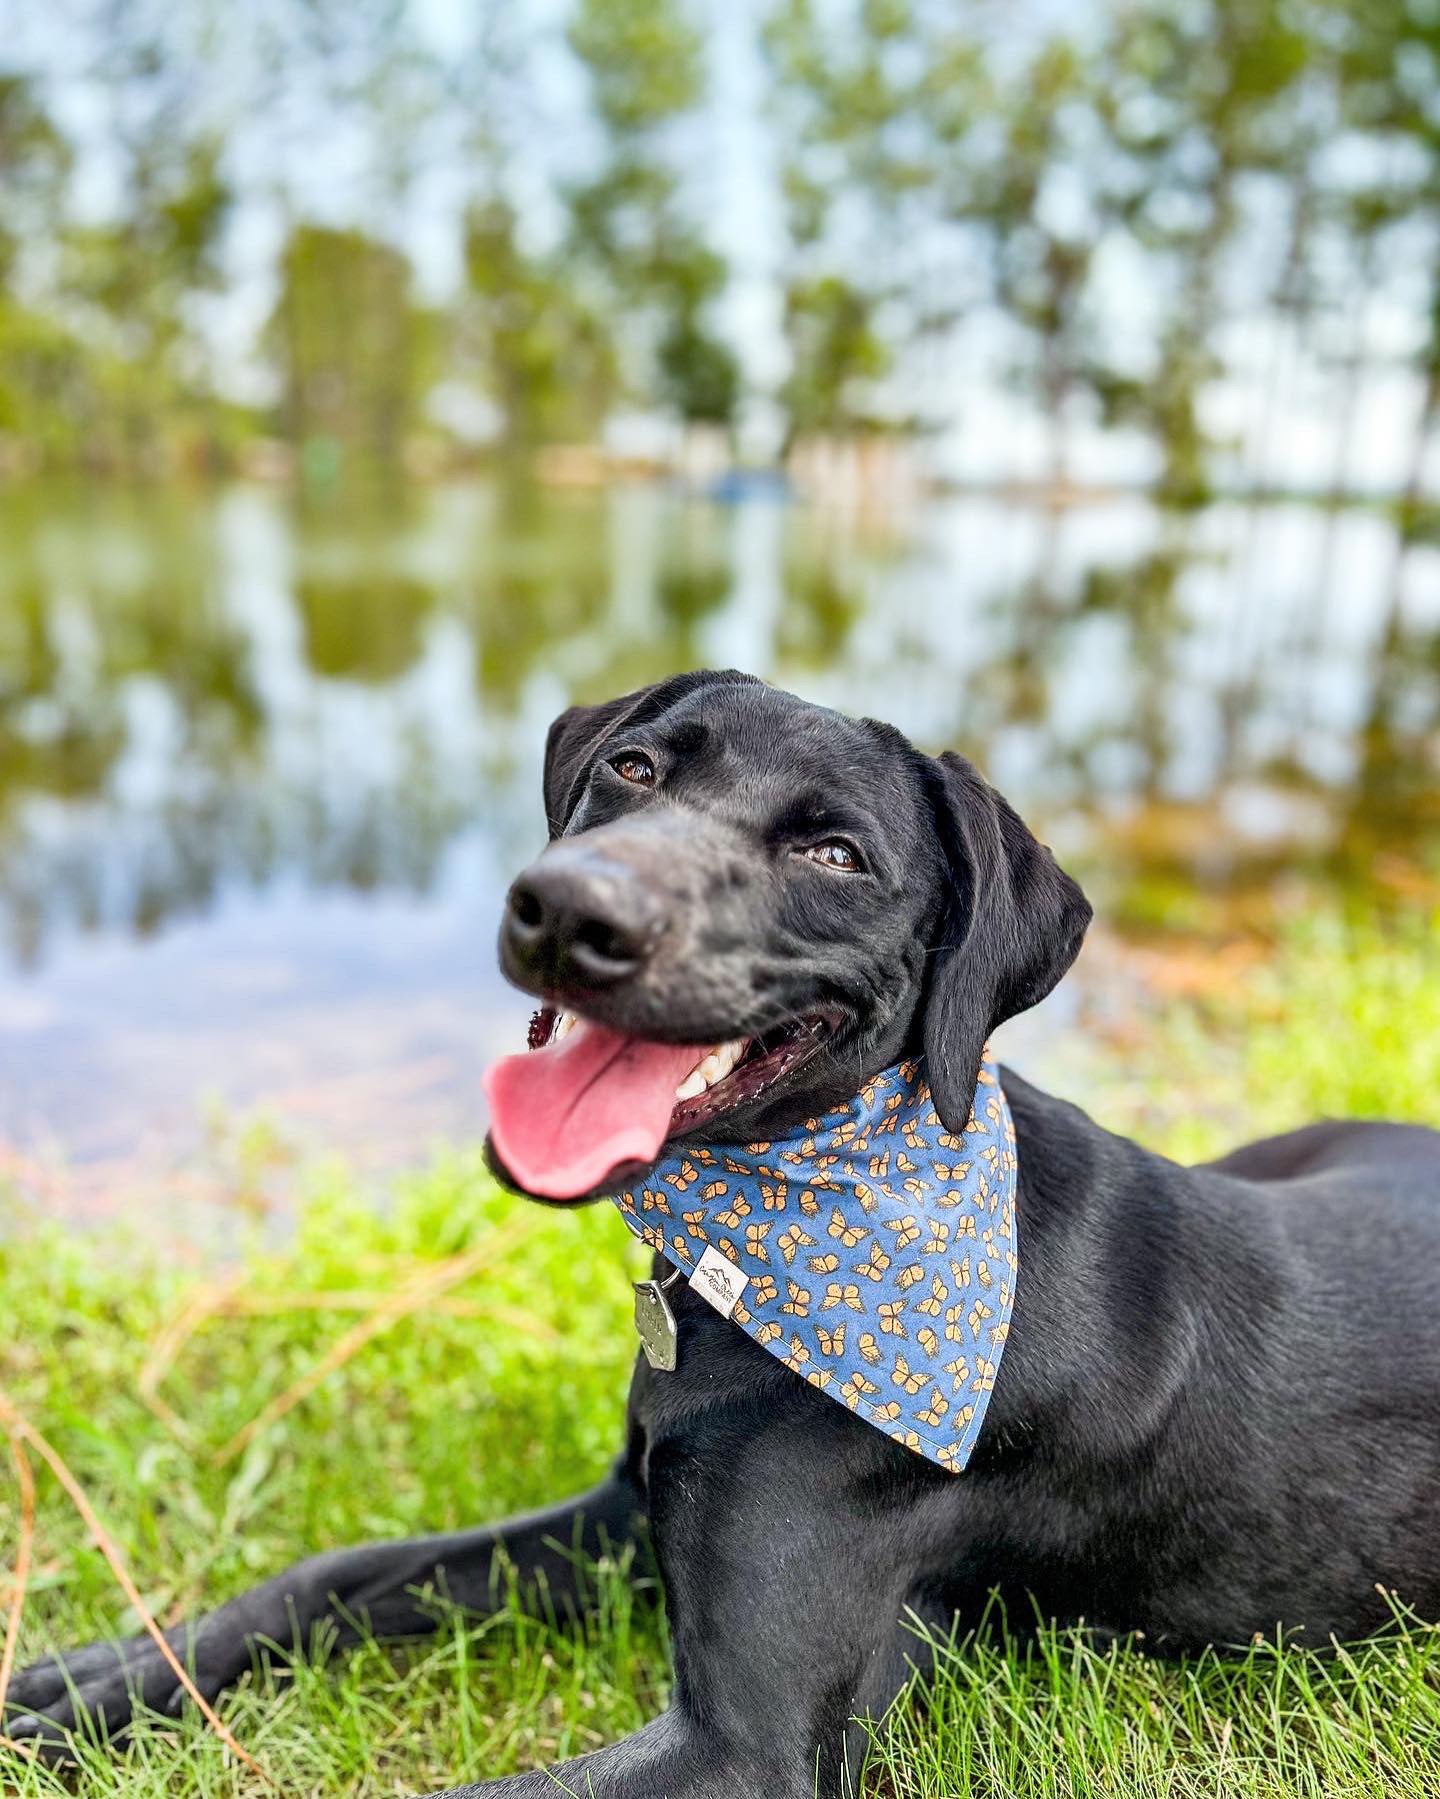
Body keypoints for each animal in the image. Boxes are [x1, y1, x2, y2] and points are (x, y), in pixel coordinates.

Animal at [11, 669, 1440, 1791]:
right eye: (633, 767)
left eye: (835, 855)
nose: (567, 908)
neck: (772, 1246)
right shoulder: (618, 1517)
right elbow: (323, 1576)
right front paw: (74, 1687)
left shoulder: (740, 1748)